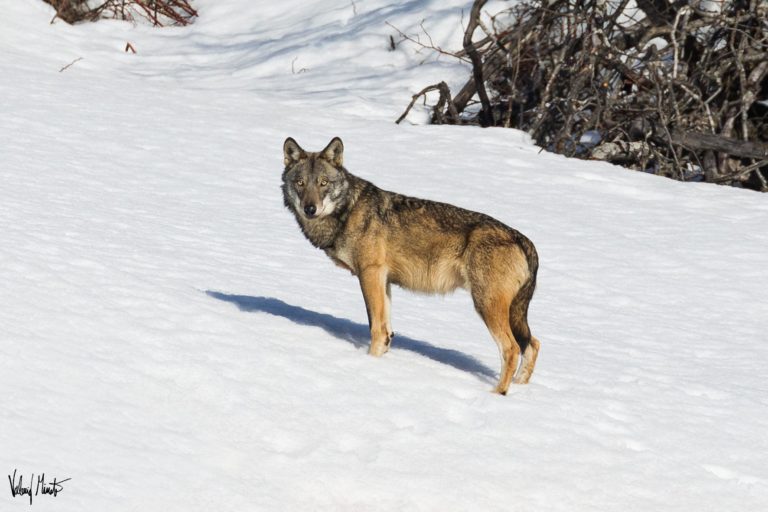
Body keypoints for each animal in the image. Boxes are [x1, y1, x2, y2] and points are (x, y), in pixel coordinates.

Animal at [281, 137, 541, 394]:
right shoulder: (383, 279)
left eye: (323, 183)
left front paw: (369, 363)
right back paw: (521, 387)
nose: (310, 209)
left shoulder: (370, 273)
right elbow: (386, 330)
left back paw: (497, 394)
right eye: (300, 183)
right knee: (534, 344)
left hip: (485, 305)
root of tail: (524, 240)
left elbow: (376, 329)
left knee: (512, 349)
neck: (348, 210)